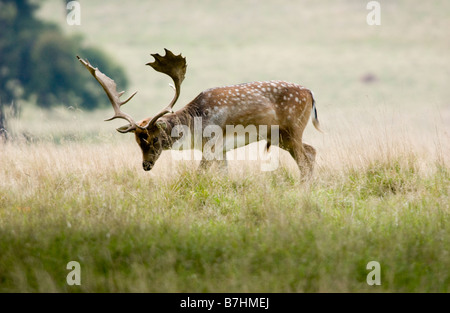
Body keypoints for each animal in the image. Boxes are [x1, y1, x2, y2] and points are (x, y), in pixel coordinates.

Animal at [78, 48, 324, 176]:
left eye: (154, 138)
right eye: (137, 142)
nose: (146, 166)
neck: (194, 127)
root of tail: (311, 93)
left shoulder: (211, 144)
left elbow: (199, 174)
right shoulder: (222, 149)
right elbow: (224, 175)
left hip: (291, 128)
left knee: (304, 161)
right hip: (280, 135)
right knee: (311, 152)